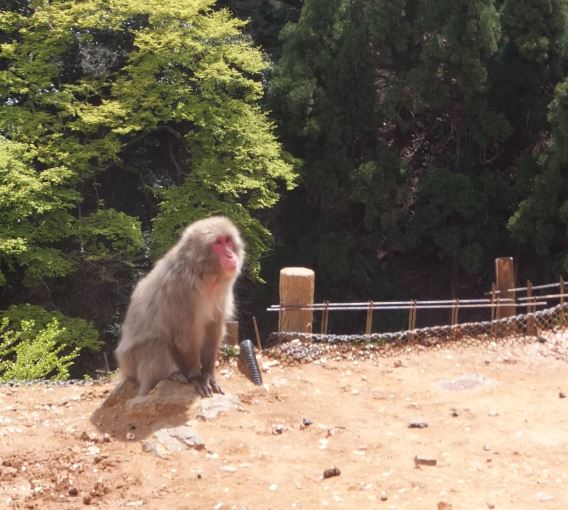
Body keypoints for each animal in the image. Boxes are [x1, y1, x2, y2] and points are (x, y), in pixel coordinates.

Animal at [116, 215, 246, 398]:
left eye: (227, 240)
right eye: (218, 243)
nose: (230, 255)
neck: (202, 274)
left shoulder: (222, 289)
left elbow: (213, 328)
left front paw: (209, 375)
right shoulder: (179, 290)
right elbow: (184, 338)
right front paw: (196, 377)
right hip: (131, 361)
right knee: (154, 344)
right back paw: (174, 375)